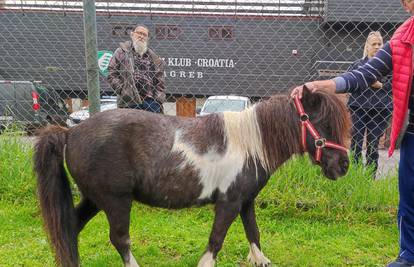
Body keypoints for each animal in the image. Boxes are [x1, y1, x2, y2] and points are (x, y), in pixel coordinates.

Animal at [34, 87, 350, 266]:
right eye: (322, 122)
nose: (343, 166)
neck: (250, 143)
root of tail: (71, 131)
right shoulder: (229, 203)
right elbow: (216, 240)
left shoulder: (246, 202)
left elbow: (254, 234)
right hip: (115, 201)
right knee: (120, 239)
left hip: (94, 199)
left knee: (71, 228)